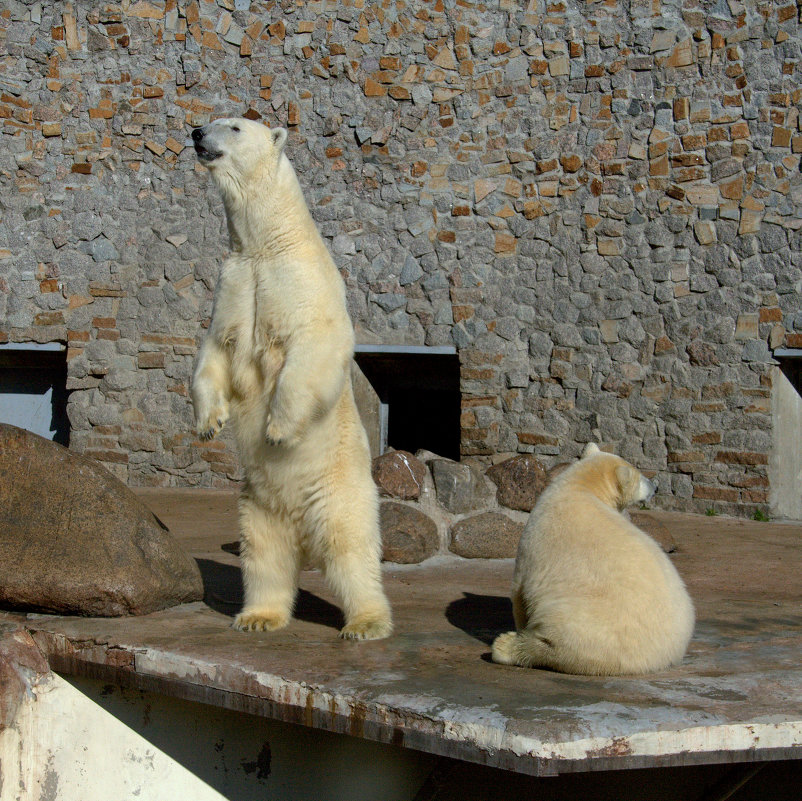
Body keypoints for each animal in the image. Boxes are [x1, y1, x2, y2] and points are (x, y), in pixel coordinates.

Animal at [191, 117, 390, 636]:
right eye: (211, 118)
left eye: (234, 125)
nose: (196, 131)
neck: (267, 244)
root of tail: (301, 529)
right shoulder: (235, 285)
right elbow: (213, 352)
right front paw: (208, 423)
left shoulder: (301, 283)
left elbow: (313, 346)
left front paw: (278, 431)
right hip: (254, 505)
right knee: (264, 558)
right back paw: (258, 616)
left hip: (339, 488)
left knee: (349, 549)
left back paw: (366, 621)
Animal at [490, 444, 692, 676]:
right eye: (640, 476)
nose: (655, 487)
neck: (580, 487)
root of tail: (660, 658)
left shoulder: (534, 540)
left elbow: (520, 593)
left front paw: (518, 625)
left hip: (584, 625)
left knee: (554, 643)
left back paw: (504, 646)